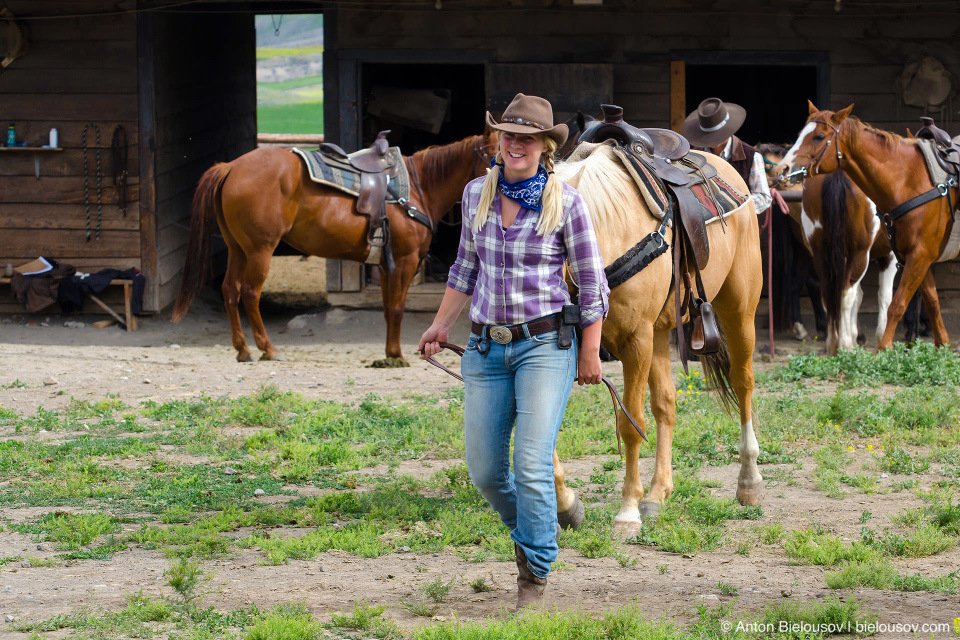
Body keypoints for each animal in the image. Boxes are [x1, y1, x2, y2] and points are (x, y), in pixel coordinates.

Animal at [172, 132, 497, 366]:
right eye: (494, 156)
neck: (418, 188)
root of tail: (231, 167)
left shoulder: (384, 265)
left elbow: (388, 309)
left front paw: (389, 353)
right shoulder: (404, 262)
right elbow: (397, 308)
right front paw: (396, 355)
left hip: (236, 248)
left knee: (230, 290)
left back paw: (242, 349)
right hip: (259, 250)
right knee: (250, 293)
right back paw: (268, 348)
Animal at [551, 143, 763, 535]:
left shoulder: (636, 341)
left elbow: (631, 424)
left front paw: (627, 512)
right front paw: (567, 505)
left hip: (738, 309)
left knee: (743, 383)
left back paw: (748, 481)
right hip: (661, 333)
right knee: (666, 403)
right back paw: (657, 492)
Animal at [776, 102, 958, 350]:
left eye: (819, 136)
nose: (783, 169)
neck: (909, 178)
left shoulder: (916, 254)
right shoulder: (904, 255)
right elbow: (893, 299)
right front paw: (890, 339)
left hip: (817, 249)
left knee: (825, 289)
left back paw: (831, 341)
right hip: (856, 252)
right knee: (844, 292)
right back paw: (843, 343)